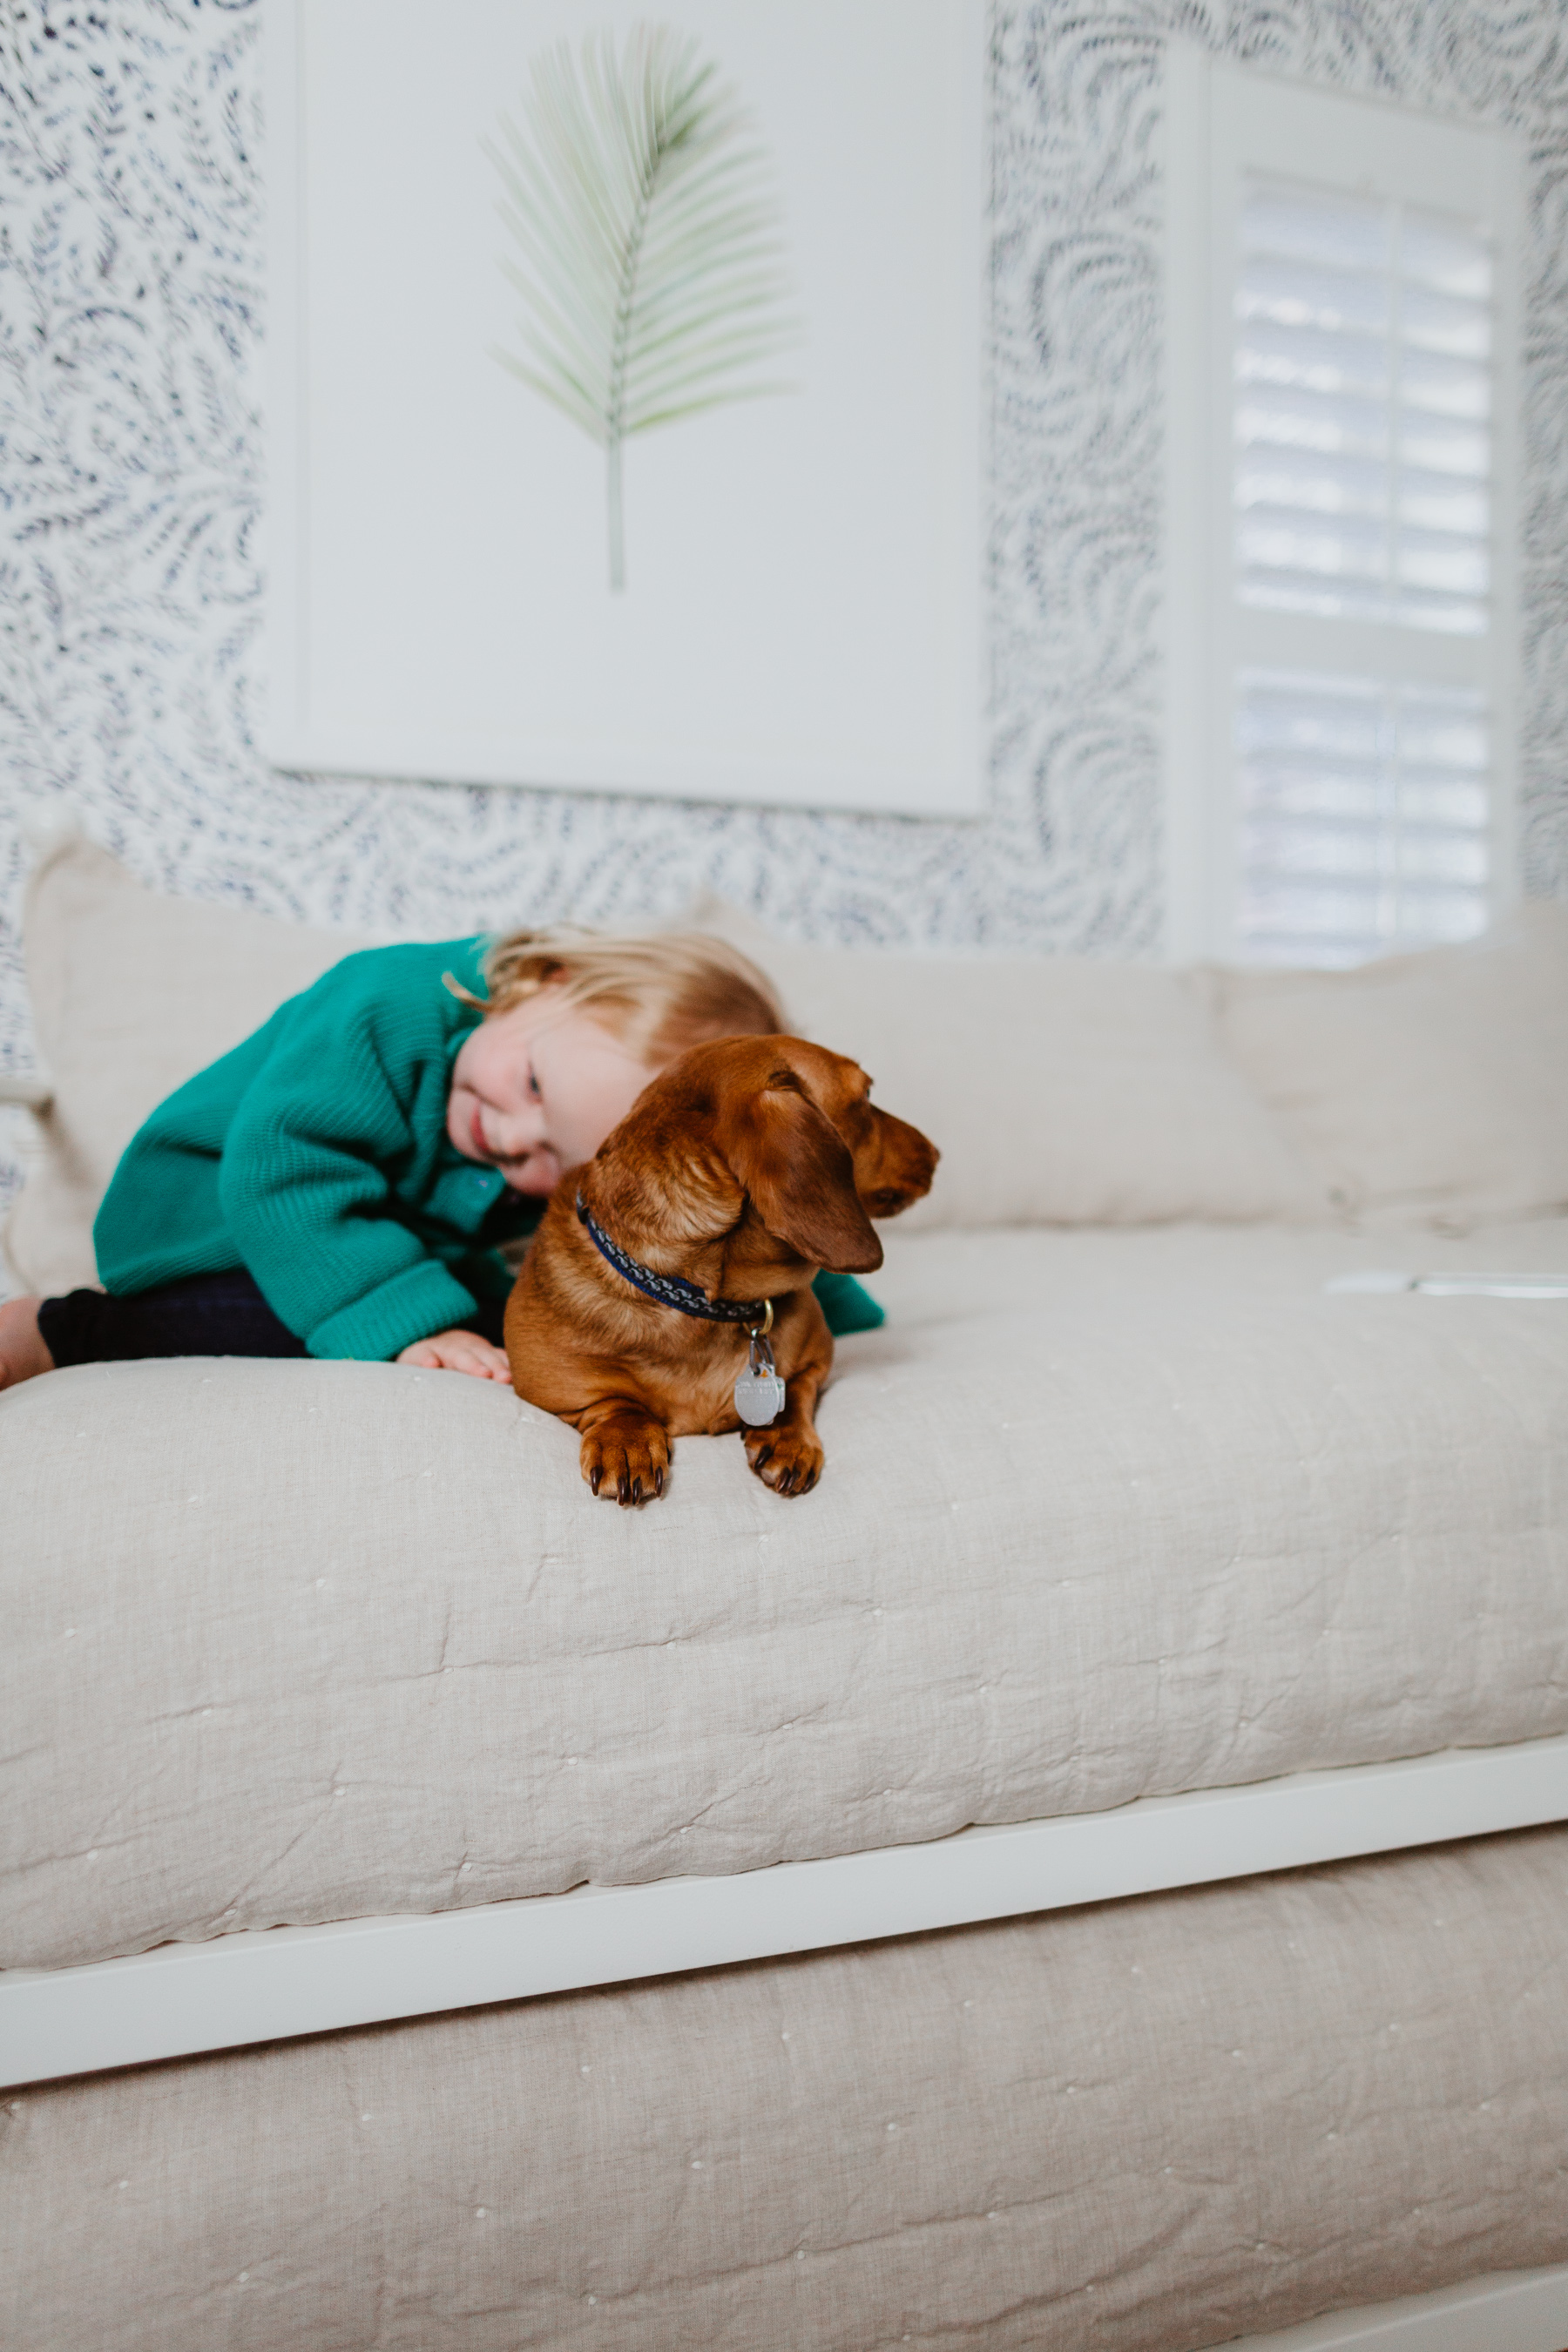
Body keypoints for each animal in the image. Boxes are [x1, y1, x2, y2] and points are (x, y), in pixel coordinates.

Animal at [510, 1035, 940, 1505]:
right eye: (866, 1095)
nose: (936, 1153)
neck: (709, 1305)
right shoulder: (551, 1385)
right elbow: (616, 1402)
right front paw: (626, 1441)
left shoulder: (818, 1360)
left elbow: (794, 1389)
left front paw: (785, 1436)